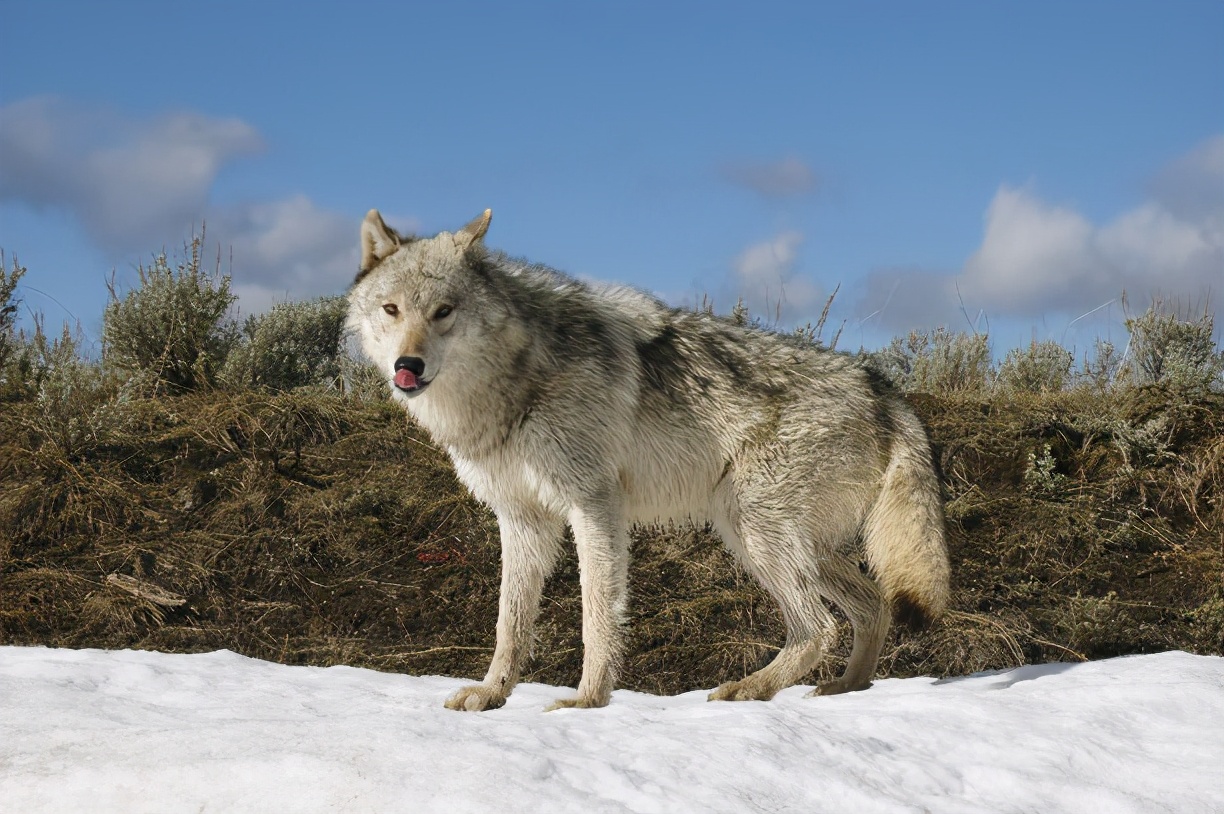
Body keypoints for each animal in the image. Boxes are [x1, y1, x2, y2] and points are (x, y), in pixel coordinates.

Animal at [350, 209, 949, 709]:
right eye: (391, 310)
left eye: (444, 312)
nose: (408, 366)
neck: (518, 382)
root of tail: (885, 391)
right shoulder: (521, 519)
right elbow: (510, 623)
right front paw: (493, 694)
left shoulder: (595, 506)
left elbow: (598, 614)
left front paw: (587, 700)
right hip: (772, 538)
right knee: (872, 603)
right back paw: (848, 688)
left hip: (752, 528)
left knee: (818, 628)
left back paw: (750, 688)